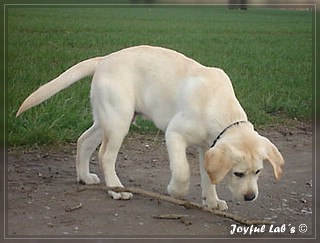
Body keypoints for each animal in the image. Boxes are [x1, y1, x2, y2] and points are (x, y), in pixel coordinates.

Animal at [16, 45, 284, 211]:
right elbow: (183, 171)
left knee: (84, 141)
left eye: (258, 172)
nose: (250, 197)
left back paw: (84, 177)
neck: (219, 105)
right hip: (119, 120)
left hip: (107, 118)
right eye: (238, 173)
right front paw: (176, 190)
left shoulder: (207, 146)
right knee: (105, 155)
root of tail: (104, 59)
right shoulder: (175, 134)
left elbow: (209, 176)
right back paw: (116, 189)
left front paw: (212, 201)